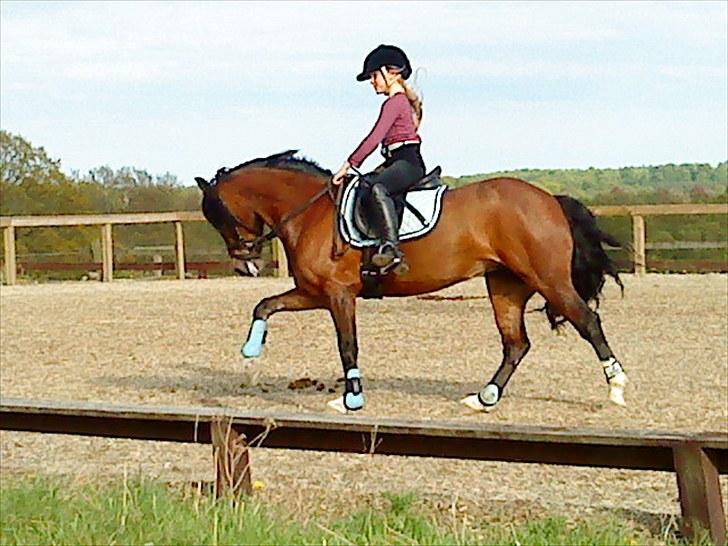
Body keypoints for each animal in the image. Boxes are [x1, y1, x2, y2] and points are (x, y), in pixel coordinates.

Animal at [196, 149, 628, 412]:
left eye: (219, 214)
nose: (244, 265)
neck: (311, 212)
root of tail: (550, 199)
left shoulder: (338, 294)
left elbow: (347, 345)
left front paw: (352, 399)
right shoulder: (313, 292)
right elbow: (265, 306)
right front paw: (251, 351)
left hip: (547, 278)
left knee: (587, 322)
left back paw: (617, 386)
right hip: (505, 284)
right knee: (516, 344)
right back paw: (484, 397)